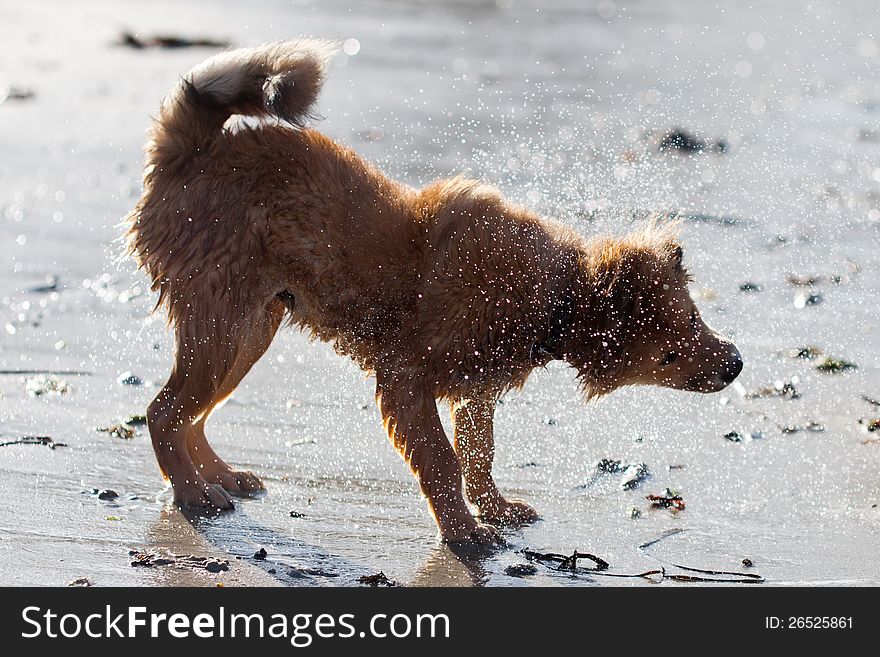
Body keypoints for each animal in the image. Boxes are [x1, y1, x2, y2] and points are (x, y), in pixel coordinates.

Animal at [125, 39, 744, 544]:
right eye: (672, 349)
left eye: (695, 317)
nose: (736, 363)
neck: (556, 296)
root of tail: (190, 151)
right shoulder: (406, 381)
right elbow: (444, 463)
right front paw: (465, 533)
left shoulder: (476, 387)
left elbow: (479, 455)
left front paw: (495, 510)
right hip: (222, 325)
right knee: (163, 412)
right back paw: (194, 494)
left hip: (252, 328)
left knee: (191, 415)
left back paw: (220, 478)